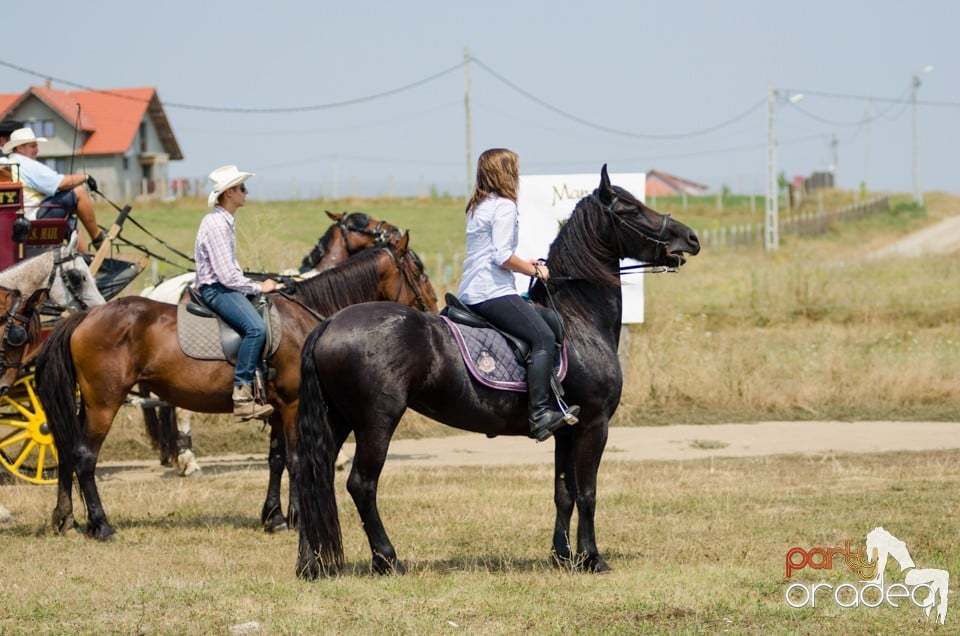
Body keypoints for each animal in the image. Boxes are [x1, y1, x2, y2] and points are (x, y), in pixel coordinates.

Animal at [34, 232, 438, 536]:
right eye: (418, 270)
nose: (433, 312)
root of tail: (85, 317)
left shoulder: (278, 408)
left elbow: (276, 459)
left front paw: (274, 516)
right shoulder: (293, 405)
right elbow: (296, 458)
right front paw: (295, 517)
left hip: (86, 404)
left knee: (68, 452)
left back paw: (66, 518)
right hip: (105, 402)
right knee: (85, 456)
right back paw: (100, 524)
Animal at [292, 166, 696, 580]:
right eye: (631, 209)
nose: (691, 238)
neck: (579, 319)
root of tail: (328, 324)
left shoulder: (567, 430)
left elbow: (563, 492)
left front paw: (563, 555)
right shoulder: (594, 424)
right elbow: (587, 492)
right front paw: (592, 558)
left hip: (337, 418)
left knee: (314, 476)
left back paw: (313, 563)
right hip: (376, 420)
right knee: (361, 484)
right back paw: (387, 559)